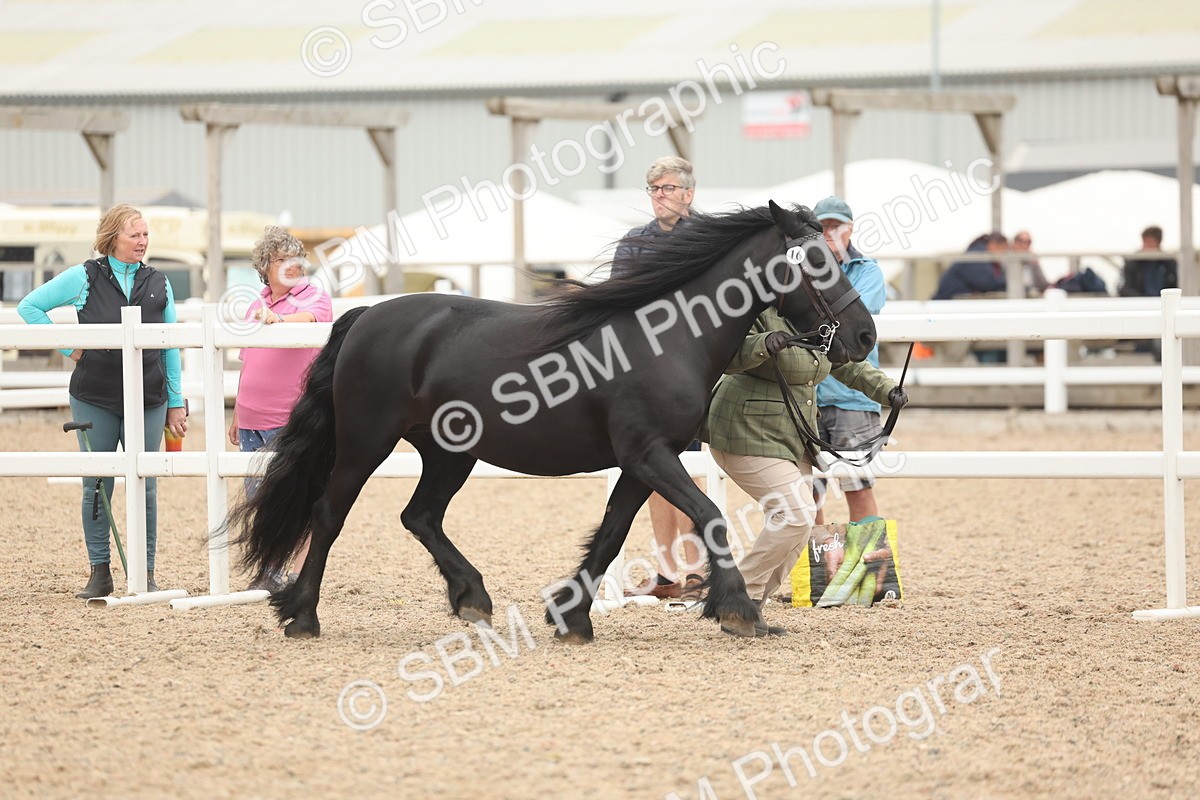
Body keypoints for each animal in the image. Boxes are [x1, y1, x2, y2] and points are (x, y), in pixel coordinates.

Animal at [229, 200, 877, 642]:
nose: (865, 336)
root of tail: (365, 316)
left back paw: (472, 597)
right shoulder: (649, 453)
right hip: (367, 443)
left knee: (420, 516)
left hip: (450, 453)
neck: (666, 339)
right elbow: (710, 517)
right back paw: (301, 613)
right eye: (815, 260)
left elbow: (612, 533)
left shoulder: (644, 461)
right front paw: (740, 611)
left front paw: (571, 616)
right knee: (328, 515)